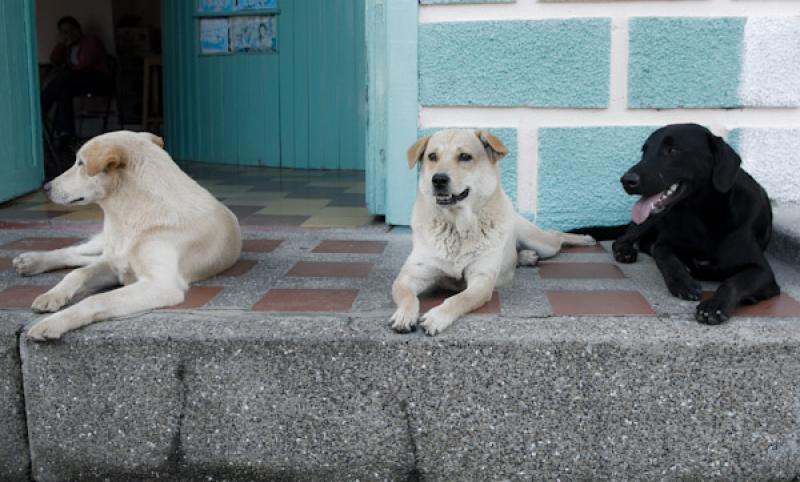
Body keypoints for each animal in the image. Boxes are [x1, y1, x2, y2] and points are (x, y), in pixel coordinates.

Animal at [14, 131, 241, 338]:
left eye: (81, 163)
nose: (46, 187)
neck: (130, 215)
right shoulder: (113, 265)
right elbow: (78, 274)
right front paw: (53, 294)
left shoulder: (161, 285)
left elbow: (96, 298)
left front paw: (54, 323)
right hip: (104, 244)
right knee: (76, 253)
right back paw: (32, 261)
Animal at [390, 130, 596, 338]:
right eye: (432, 156)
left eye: (464, 156)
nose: (438, 179)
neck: (457, 226)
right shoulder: (411, 275)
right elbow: (407, 296)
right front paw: (404, 315)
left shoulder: (482, 280)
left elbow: (459, 299)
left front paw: (437, 317)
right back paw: (526, 257)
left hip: (543, 243)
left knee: (556, 236)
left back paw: (584, 238)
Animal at [572, 123, 780, 324]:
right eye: (645, 151)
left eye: (672, 150)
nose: (626, 180)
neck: (701, 217)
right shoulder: (665, 244)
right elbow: (666, 257)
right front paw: (683, 282)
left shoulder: (763, 272)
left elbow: (733, 282)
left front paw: (714, 305)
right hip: (651, 219)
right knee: (624, 239)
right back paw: (625, 250)